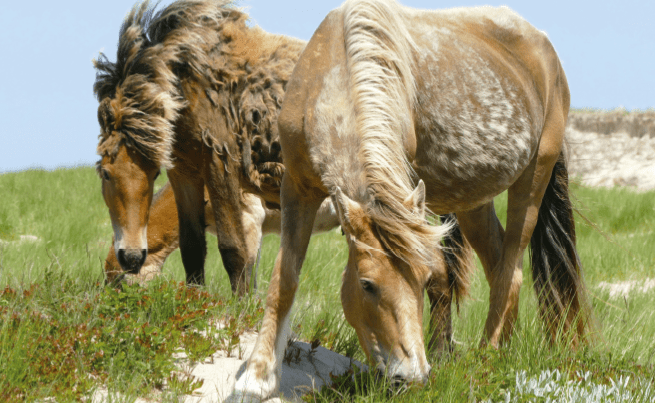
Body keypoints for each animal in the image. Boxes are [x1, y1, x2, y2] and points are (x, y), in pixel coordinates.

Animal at [230, 0, 591, 399]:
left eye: (419, 281)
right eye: (367, 285)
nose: (412, 376)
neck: (338, 74)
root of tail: (546, 51)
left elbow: (441, 276)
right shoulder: (297, 188)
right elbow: (285, 280)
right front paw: (258, 377)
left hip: (532, 182)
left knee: (509, 268)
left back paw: (485, 359)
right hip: (472, 203)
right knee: (501, 267)